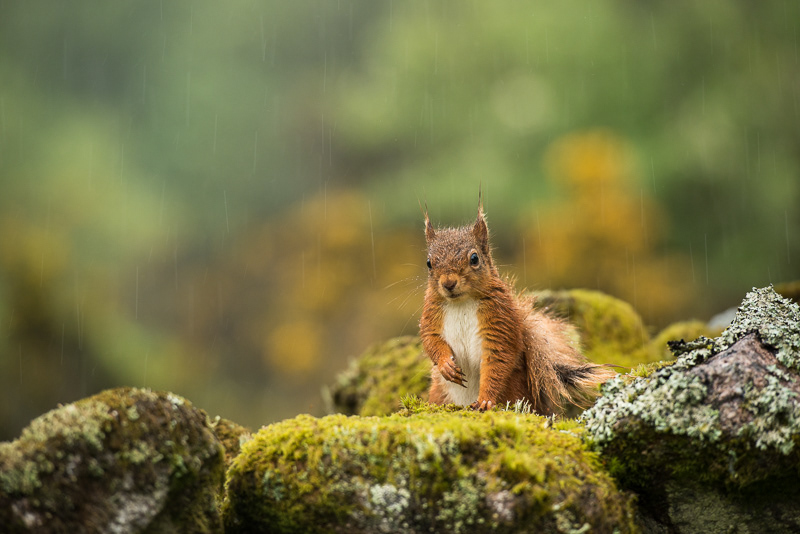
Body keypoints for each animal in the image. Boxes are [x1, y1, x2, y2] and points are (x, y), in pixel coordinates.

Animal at [419, 202, 615, 415]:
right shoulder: (431, 314)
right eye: (429, 263)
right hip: (440, 393)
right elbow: (431, 340)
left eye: (474, 258)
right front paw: (446, 365)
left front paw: (485, 401)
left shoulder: (500, 319)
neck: (461, 302)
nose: (448, 283)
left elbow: (497, 362)